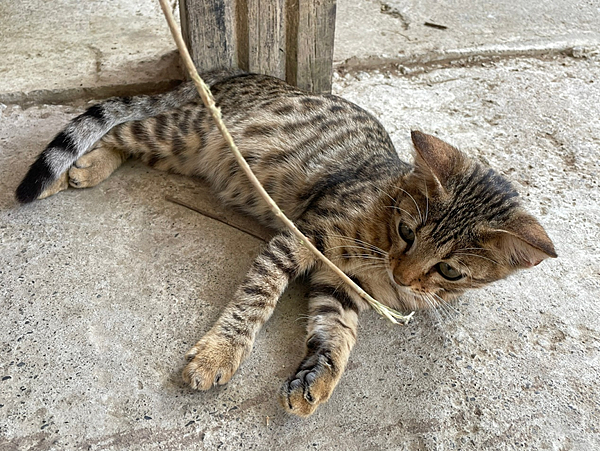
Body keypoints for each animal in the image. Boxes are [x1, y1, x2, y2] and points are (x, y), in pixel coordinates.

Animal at [15, 69, 556, 418]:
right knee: (122, 128)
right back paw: (76, 169)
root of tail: (233, 74)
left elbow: (338, 333)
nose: (402, 276)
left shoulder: (342, 284)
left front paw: (319, 378)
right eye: (408, 231)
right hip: (186, 132)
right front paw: (220, 353)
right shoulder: (301, 238)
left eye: (450, 271)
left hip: (180, 152)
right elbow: (254, 300)